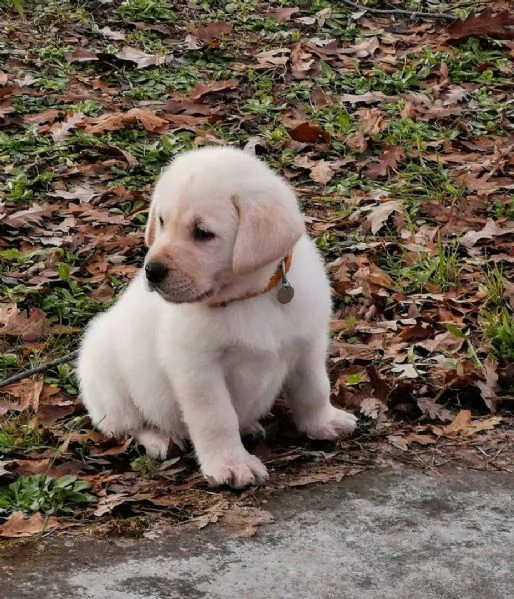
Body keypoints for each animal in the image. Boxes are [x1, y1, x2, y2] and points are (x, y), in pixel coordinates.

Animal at [77, 145, 356, 488]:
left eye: (203, 233)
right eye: (162, 221)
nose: (151, 271)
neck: (246, 296)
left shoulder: (307, 344)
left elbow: (314, 388)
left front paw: (323, 422)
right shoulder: (197, 368)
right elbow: (216, 419)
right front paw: (231, 464)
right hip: (108, 378)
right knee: (129, 424)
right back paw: (159, 438)